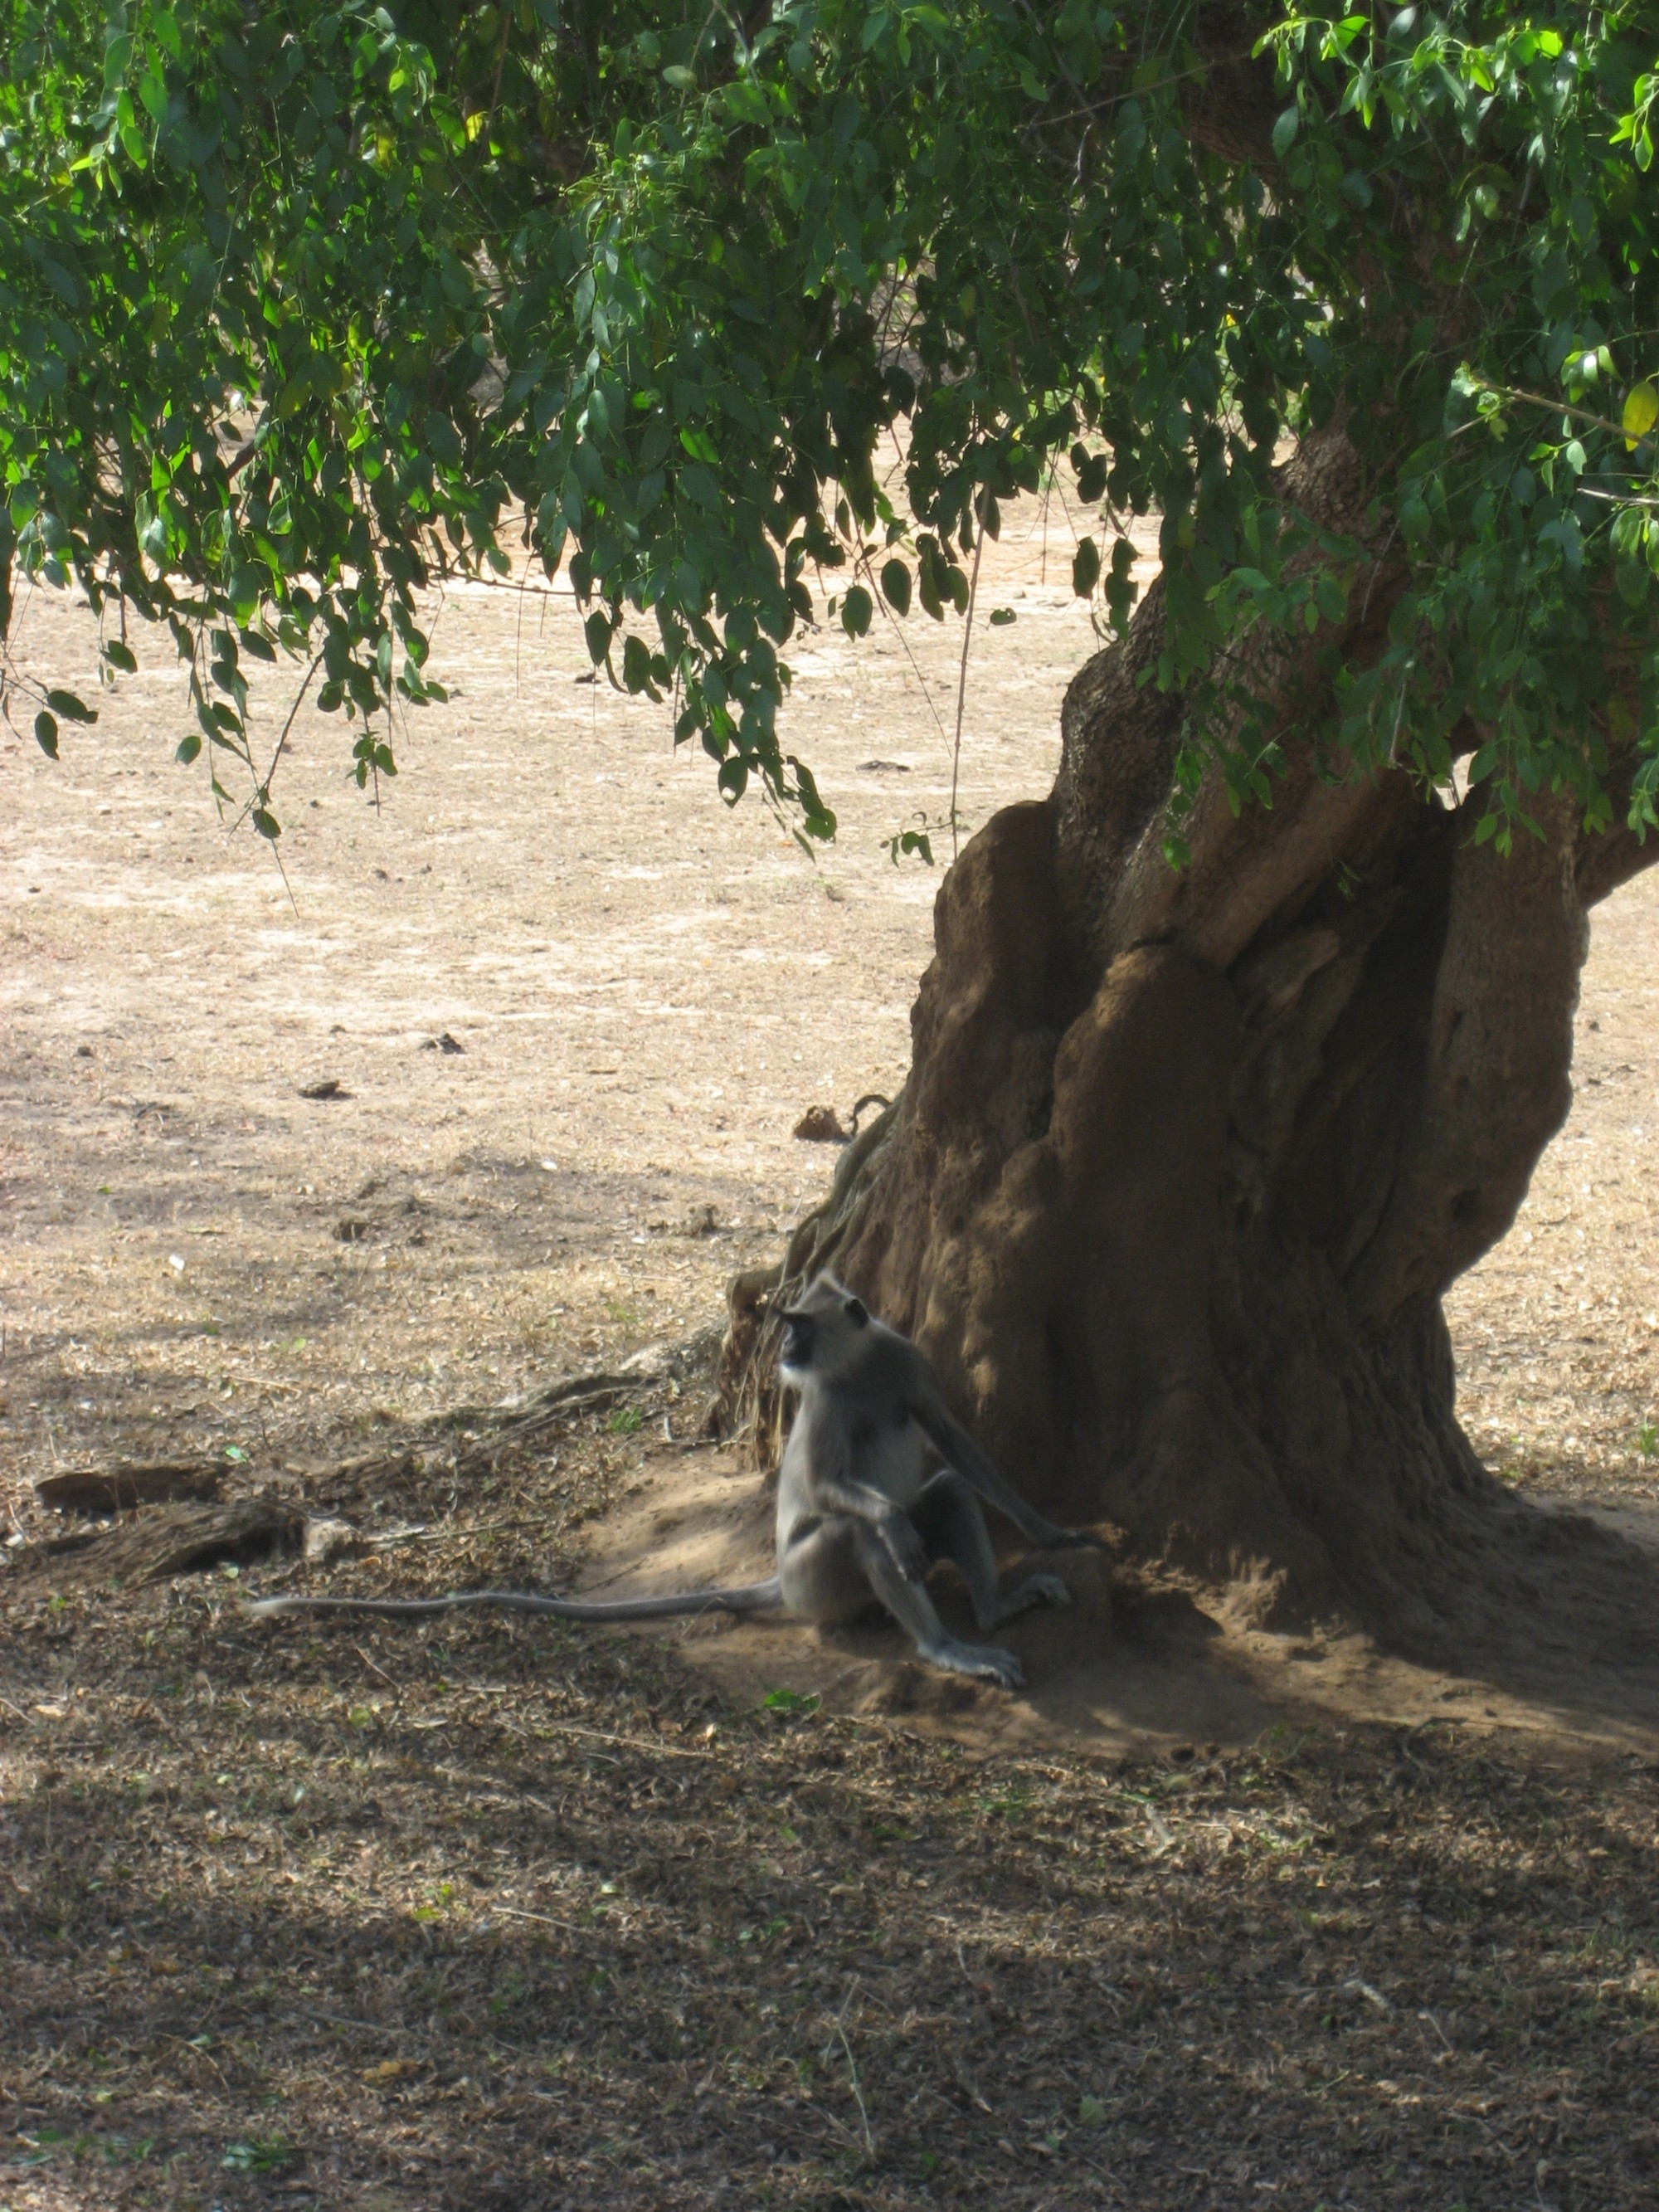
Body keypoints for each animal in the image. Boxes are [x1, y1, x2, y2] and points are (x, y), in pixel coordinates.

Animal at [243, 1274, 1079, 1681]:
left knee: (945, 1494)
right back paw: (943, 1645)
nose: (785, 1349)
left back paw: (994, 1613)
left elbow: (959, 1446)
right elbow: (829, 1488)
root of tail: (780, 1585)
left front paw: (1051, 1530)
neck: (856, 1368)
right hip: (814, 1582)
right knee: (860, 1530)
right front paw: (899, 1529)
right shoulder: (826, 1400)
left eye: (800, 1327)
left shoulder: (901, 1359)